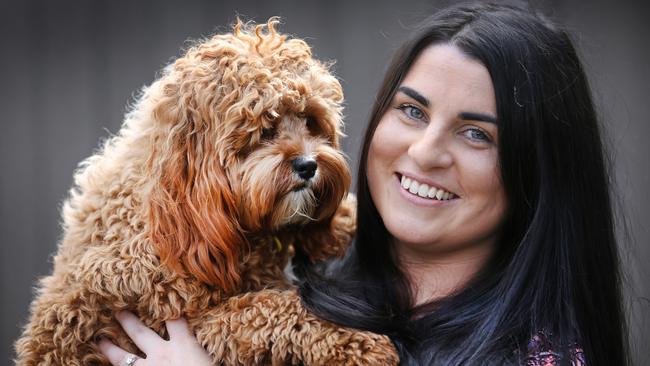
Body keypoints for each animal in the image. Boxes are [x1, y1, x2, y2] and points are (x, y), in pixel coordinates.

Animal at [15, 19, 398, 366]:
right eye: (266, 128)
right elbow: (272, 309)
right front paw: (362, 343)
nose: (308, 165)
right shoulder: (184, 319)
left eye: (310, 121)